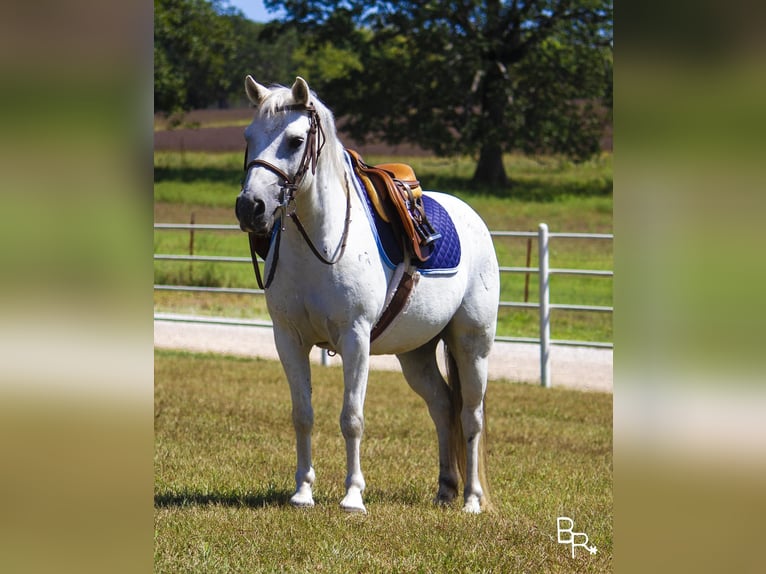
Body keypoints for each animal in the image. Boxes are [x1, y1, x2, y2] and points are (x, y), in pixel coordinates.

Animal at [234, 77, 500, 516]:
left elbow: (352, 417)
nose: (250, 207)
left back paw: (473, 499)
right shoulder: (288, 339)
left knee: (471, 415)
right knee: (443, 406)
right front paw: (303, 492)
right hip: (417, 353)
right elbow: (303, 414)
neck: (319, 243)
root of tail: (472, 218)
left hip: (471, 344)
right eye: (248, 137)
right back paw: (445, 489)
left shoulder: (355, 339)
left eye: (295, 140)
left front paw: (353, 496)